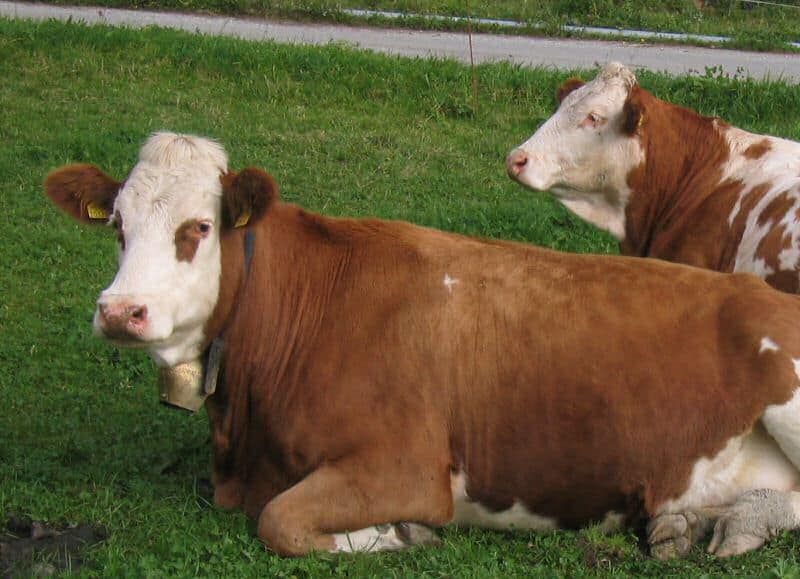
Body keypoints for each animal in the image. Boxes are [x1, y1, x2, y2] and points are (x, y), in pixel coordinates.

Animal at [45, 132, 800, 560]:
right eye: (116, 224)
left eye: (198, 228)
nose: (120, 311)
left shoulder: (407, 469)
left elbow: (278, 520)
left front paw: (393, 535)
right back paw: (696, 522)